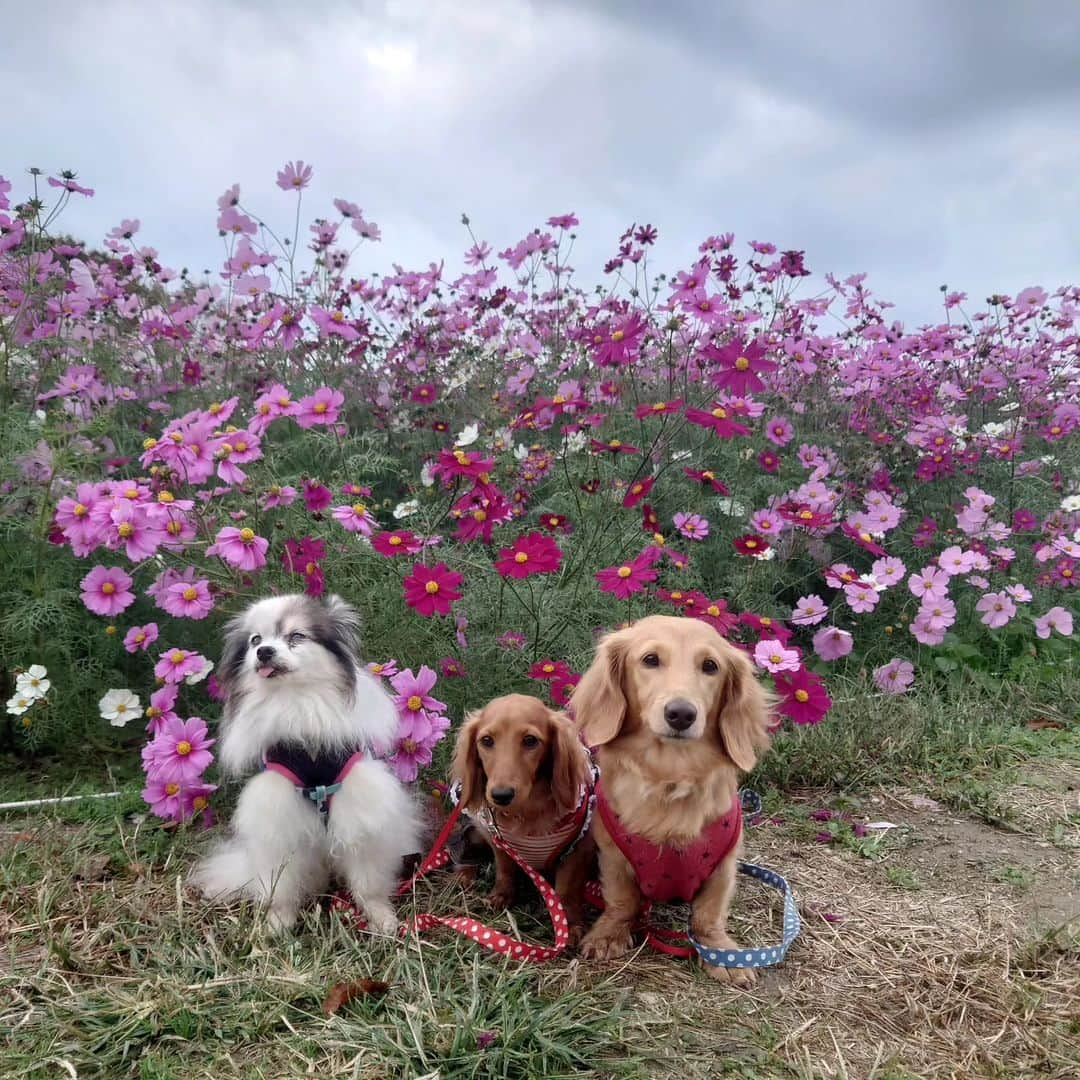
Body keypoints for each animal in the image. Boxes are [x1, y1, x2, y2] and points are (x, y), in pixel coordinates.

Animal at [190, 596, 416, 933]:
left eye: (296, 636)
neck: (295, 702)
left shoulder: (358, 812)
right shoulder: (278, 818)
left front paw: (381, 918)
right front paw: (278, 922)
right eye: (255, 640)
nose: (264, 651)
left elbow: (368, 883)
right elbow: (281, 885)